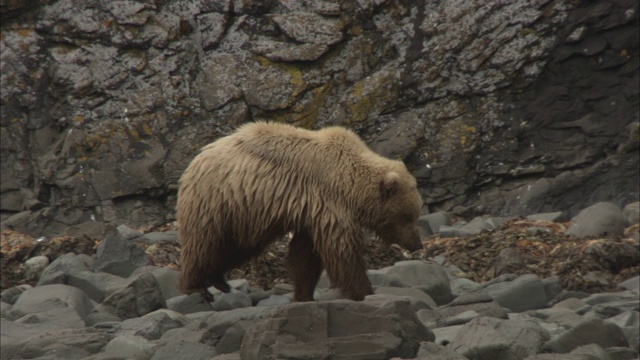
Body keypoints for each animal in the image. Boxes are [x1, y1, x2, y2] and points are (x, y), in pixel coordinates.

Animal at [178, 121, 422, 300]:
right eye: (407, 216)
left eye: (415, 214)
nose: (417, 244)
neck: (350, 186)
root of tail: (196, 159)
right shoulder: (329, 204)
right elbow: (342, 252)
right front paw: (364, 291)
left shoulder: (311, 213)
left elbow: (305, 256)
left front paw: (304, 294)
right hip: (218, 201)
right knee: (205, 243)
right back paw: (196, 286)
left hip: (243, 215)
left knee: (237, 247)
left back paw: (219, 279)